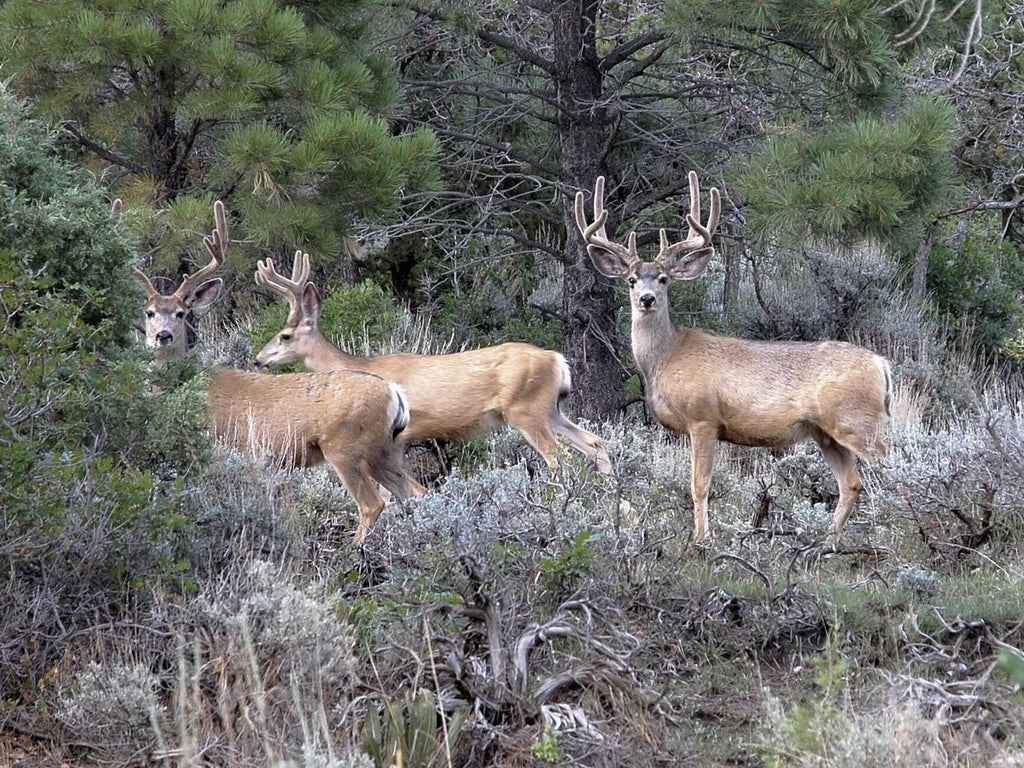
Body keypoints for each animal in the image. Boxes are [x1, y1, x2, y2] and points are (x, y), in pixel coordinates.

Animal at [130, 201, 417, 544]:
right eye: (149, 313)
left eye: (181, 313)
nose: (163, 335)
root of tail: (394, 393)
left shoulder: (219, 448)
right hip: (384, 451)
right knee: (414, 493)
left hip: (346, 446)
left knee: (372, 504)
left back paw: (352, 549)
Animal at [251, 252, 610, 481]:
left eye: (284, 335)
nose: (259, 358)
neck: (360, 367)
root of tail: (557, 359)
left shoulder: (396, 434)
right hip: (550, 409)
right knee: (595, 444)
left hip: (526, 409)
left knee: (560, 460)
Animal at [577, 174, 888, 548]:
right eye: (631, 280)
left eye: (664, 278)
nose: (647, 299)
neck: (666, 357)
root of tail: (882, 365)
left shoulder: (703, 417)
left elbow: (699, 484)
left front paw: (701, 540)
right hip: (826, 432)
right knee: (852, 483)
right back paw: (824, 543)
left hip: (855, 421)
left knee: (890, 468)